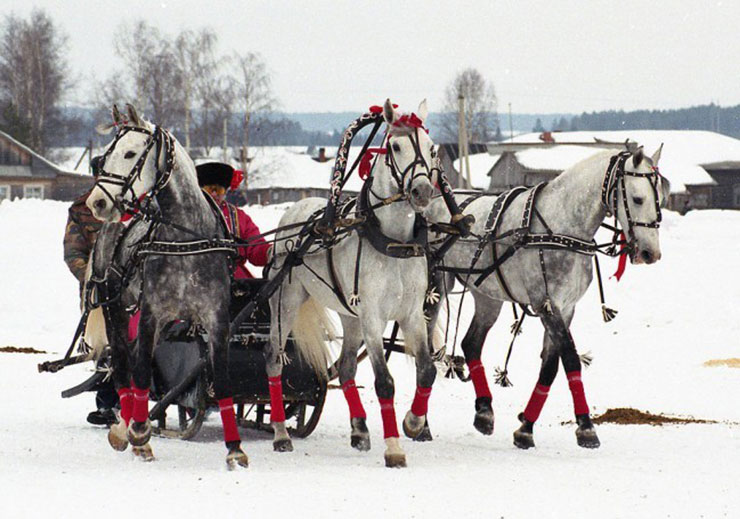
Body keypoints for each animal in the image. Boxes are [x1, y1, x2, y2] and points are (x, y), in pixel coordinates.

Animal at [85, 103, 250, 470]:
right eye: (104, 156)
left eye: (130, 153)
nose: (97, 203)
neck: (186, 238)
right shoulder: (151, 314)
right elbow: (141, 372)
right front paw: (138, 432)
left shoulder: (217, 319)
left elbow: (224, 380)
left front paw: (235, 449)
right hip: (115, 308)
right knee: (123, 362)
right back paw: (126, 428)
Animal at [266, 99, 440, 470]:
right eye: (395, 146)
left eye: (432, 148)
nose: (421, 191)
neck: (392, 242)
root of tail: (296, 212)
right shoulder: (373, 317)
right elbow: (384, 382)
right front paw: (394, 448)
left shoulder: (411, 314)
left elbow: (427, 370)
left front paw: (413, 422)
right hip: (286, 303)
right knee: (273, 359)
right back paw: (281, 434)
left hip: (350, 315)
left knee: (345, 368)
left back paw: (359, 430)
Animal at [422, 146, 672, 450]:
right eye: (637, 198)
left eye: (660, 199)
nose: (650, 253)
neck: (561, 227)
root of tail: (431, 205)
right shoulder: (546, 305)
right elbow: (571, 360)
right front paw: (586, 427)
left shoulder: (565, 307)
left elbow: (550, 366)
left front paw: (526, 427)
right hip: (434, 286)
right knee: (423, 345)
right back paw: (420, 422)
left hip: (487, 294)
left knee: (471, 343)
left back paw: (484, 411)